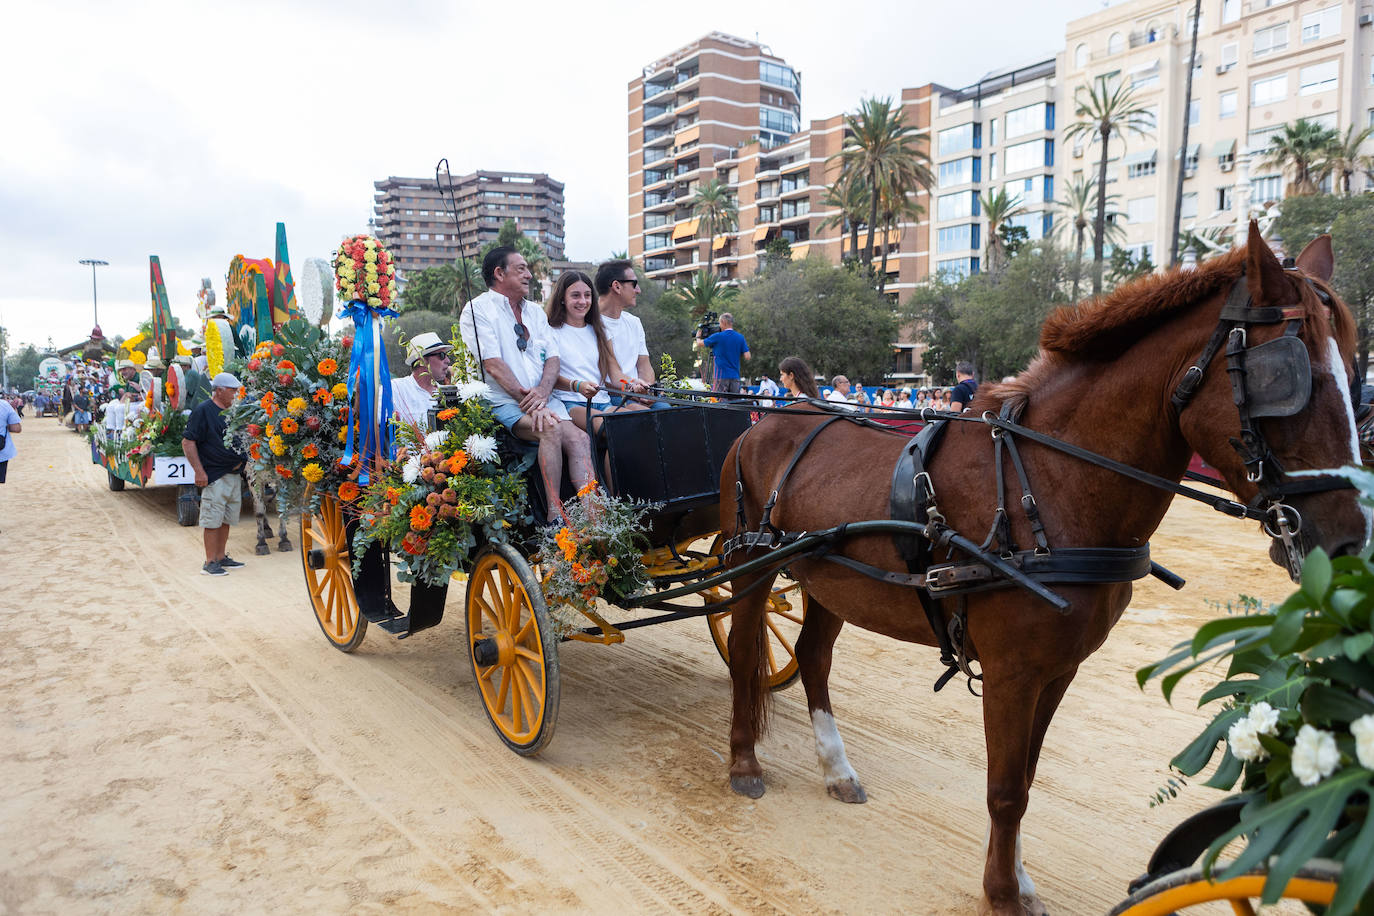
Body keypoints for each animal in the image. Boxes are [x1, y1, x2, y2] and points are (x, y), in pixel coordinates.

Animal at [719, 223, 1363, 916]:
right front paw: (1002, 893)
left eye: (1355, 375)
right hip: (754, 567)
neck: (1050, 483)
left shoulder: (1058, 669)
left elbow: (1025, 780)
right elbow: (1004, 789)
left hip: (831, 582)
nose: (1350, 540)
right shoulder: (1012, 671)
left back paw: (836, 768)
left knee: (813, 658)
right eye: (1292, 378)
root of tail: (766, 422)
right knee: (747, 653)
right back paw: (744, 764)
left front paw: (1018, 879)